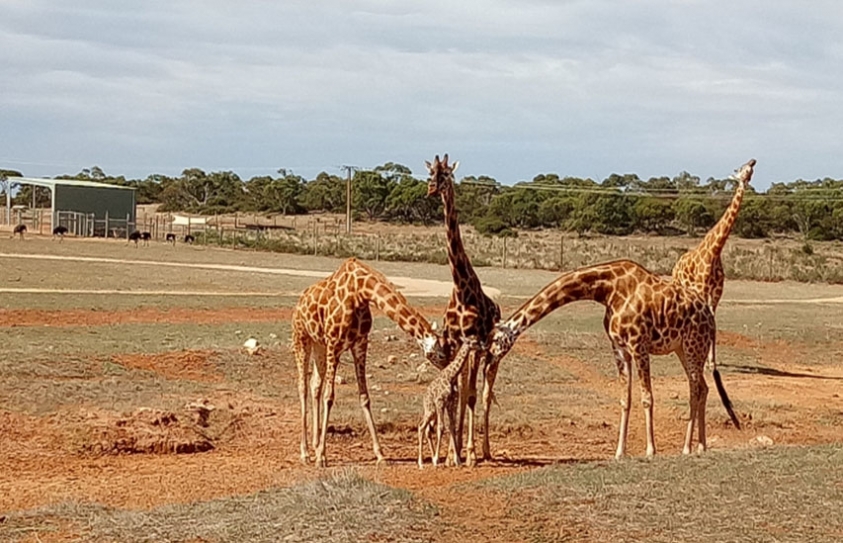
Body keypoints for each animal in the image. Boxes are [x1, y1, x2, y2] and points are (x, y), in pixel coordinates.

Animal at [292, 257, 447, 467]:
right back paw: (306, 453)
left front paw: (380, 454)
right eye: (440, 355)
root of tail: (299, 303)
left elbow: (364, 397)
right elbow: (329, 396)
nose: (447, 366)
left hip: (319, 344)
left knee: (315, 383)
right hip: (302, 338)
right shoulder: (334, 343)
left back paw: (315, 445)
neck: (360, 291)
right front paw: (322, 457)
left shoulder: (360, 343)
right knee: (303, 387)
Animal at [418, 339, 476, 469]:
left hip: (432, 412)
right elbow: (441, 428)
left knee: (425, 428)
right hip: (431, 409)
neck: (451, 375)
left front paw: (457, 461)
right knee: (421, 427)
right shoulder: (440, 401)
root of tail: (424, 397)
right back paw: (421, 463)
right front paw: (436, 460)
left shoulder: (450, 403)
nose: (483, 346)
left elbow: (452, 427)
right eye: (473, 341)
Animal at [488, 259, 742, 458]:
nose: (489, 366)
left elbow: (647, 397)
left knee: (695, 389)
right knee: (703, 387)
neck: (606, 289)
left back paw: (687, 448)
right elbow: (625, 399)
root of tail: (710, 317)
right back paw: (701, 446)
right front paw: (620, 452)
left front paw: (651, 451)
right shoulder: (620, 349)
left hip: (693, 345)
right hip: (683, 349)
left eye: (494, 343)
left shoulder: (639, 346)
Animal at [672, 158, 756, 312]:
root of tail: (676, 265)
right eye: (741, 169)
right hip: (678, 283)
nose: (753, 161)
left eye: (750, 170)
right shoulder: (702, 289)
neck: (715, 251)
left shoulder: (717, 292)